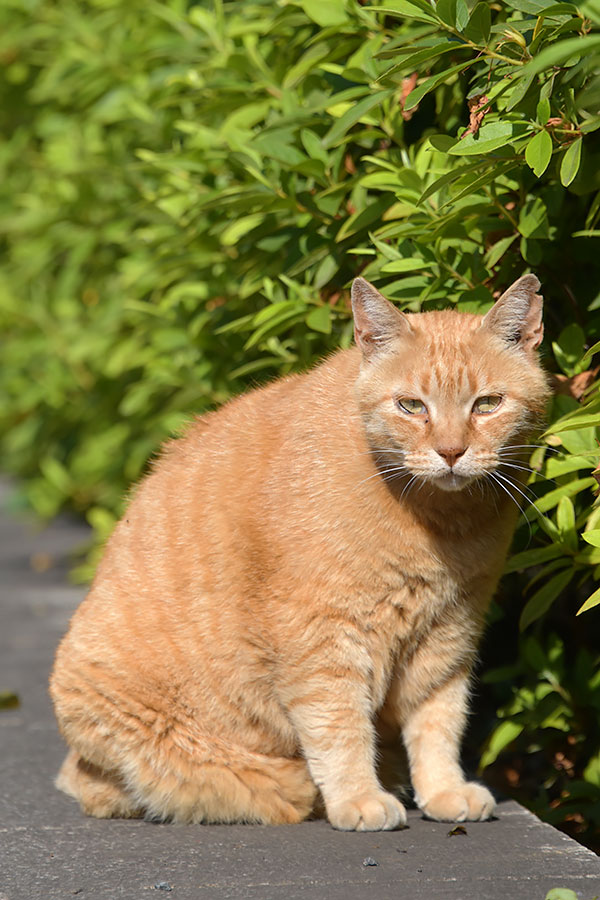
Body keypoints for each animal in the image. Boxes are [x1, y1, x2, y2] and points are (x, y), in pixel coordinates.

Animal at [49, 272, 552, 828]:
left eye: (486, 405)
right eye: (411, 406)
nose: (450, 452)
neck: (442, 524)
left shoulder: (448, 634)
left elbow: (439, 722)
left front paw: (443, 790)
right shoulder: (321, 636)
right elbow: (339, 726)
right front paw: (358, 798)